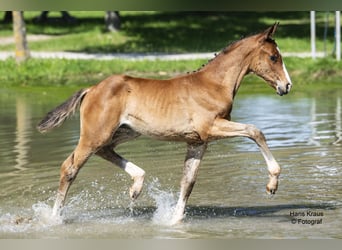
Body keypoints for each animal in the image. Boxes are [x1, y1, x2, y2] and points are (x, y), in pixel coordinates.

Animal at [38, 22, 292, 224]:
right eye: (274, 57)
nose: (287, 86)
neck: (214, 85)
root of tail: (91, 89)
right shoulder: (211, 127)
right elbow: (255, 131)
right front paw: (273, 183)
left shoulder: (198, 141)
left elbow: (188, 181)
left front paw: (175, 220)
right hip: (95, 134)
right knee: (70, 167)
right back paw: (54, 218)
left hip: (125, 132)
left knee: (103, 151)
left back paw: (137, 185)